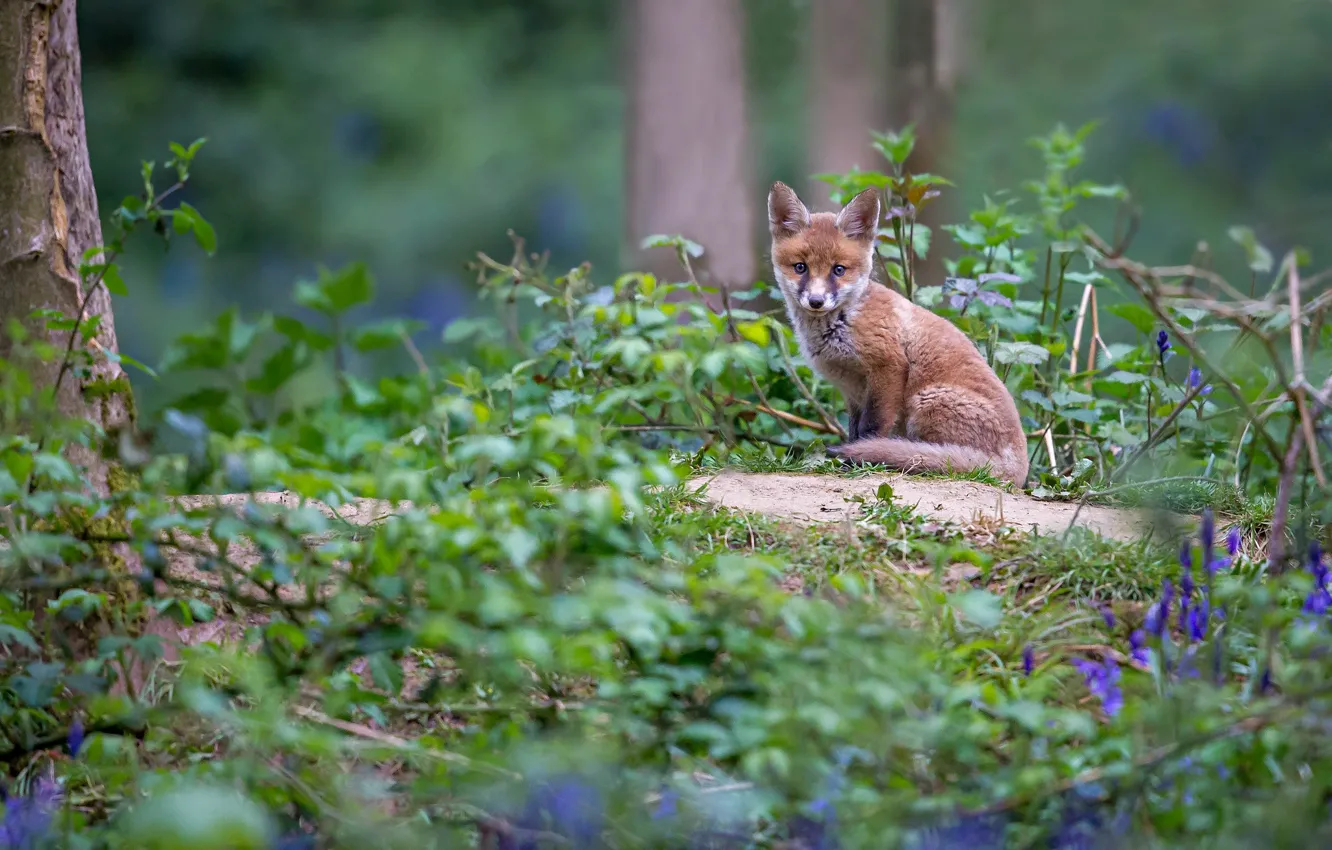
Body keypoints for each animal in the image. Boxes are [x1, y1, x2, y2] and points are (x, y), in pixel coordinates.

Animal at [766, 180, 1029, 486]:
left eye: (838, 270)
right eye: (800, 267)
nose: (816, 301)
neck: (844, 322)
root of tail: (1018, 470)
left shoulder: (887, 368)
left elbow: (871, 429)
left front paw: (856, 462)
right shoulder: (852, 390)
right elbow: (854, 430)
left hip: (924, 402)